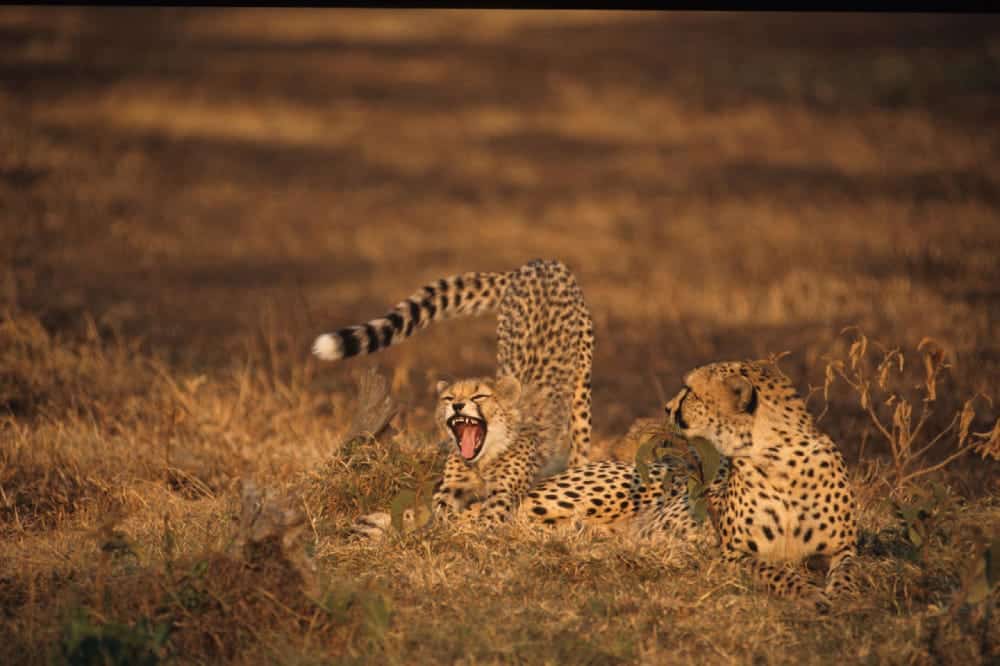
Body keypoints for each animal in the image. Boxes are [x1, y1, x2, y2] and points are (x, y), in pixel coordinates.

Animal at [520, 360, 856, 604]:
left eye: (690, 391)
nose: (667, 407)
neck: (777, 458)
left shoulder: (844, 547)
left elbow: (848, 571)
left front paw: (843, 595)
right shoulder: (733, 553)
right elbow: (773, 570)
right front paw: (808, 592)